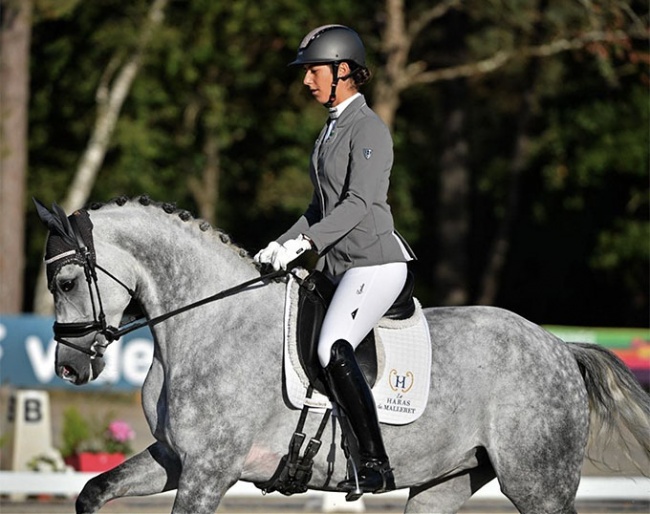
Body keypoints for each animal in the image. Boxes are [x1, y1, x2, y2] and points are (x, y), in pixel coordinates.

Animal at [36, 196, 648, 512]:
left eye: (66, 281)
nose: (69, 366)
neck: (206, 321)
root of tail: (558, 346)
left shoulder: (210, 469)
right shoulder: (175, 458)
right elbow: (93, 491)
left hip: (538, 483)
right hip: (445, 482)